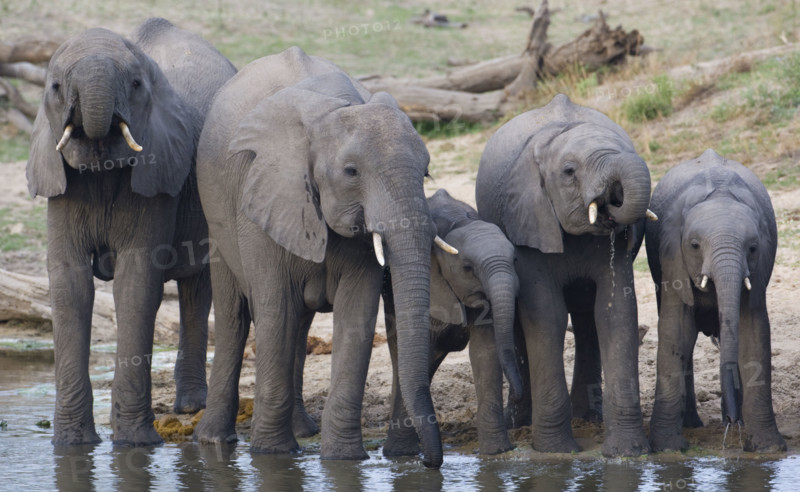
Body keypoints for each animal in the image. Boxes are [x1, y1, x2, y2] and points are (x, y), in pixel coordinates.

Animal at [26, 18, 236, 446]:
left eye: (137, 84)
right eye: (54, 87)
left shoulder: (157, 174)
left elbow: (135, 282)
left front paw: (135, 444)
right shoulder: (61, 184)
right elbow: (70, 283)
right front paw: (71, 445)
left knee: (197, 286)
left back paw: (191, 407)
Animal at [192, 46, 458, 468]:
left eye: (427, 171)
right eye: (351, 172)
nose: (429, 463)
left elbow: (356, 313)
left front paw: (344, 459)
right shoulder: (262, 195)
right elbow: (274, 308)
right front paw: (272, 455)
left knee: (298, 324)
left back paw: (303, 431)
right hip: (215, 211)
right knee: (237, 313)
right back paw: (215, 441)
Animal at [381, 189, 522, 456]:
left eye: (515, 260)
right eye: (467, 268)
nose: (519, 393)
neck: (460, 222)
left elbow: (485, 353)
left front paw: (497, 452)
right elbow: (422, 352)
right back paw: (399, 453)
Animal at [476, 93, 655, 457]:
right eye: (569, 172)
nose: (614, 196)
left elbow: (615, 313)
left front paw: (628, 453)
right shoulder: (529, 220)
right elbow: (547, 315)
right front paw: (556, 451)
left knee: (586, 318)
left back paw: (588, 417)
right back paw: (521, 423)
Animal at [646, 149, 786, 453]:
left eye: (753, 248)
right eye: (695, 246)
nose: (731, 422)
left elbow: (753, 333)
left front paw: (767, 448)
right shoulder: (672, 258)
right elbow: (676, 332)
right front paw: (667, 448)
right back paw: (693, 424)